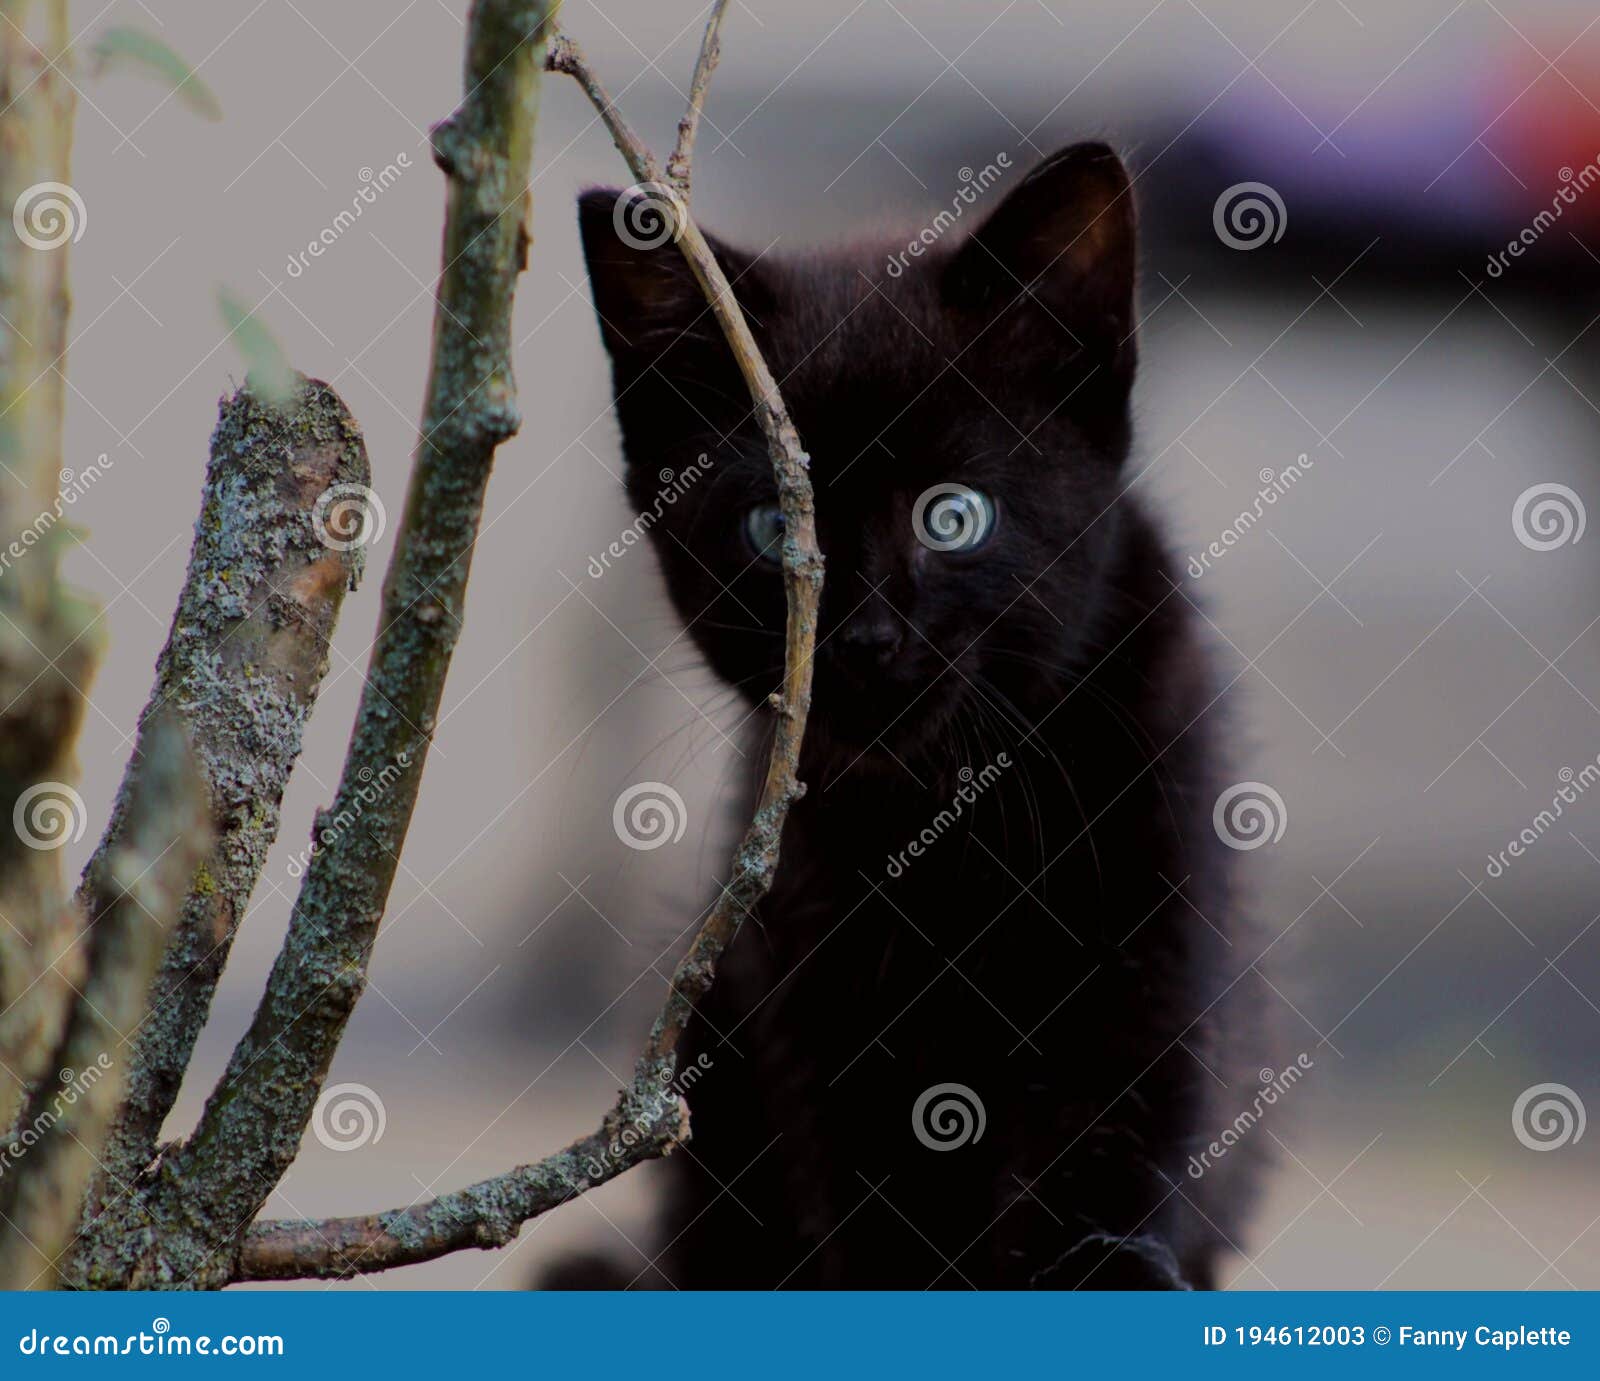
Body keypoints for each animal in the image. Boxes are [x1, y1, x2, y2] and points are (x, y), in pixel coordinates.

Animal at [569, 145, 1267, 1292]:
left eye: (952, 516)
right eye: (775, 530)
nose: (864, 639)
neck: (948, 813)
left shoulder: (1157, 912)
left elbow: (1124, 1107)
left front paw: (1105, 1263)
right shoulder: (809, 976)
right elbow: (873, 1196)